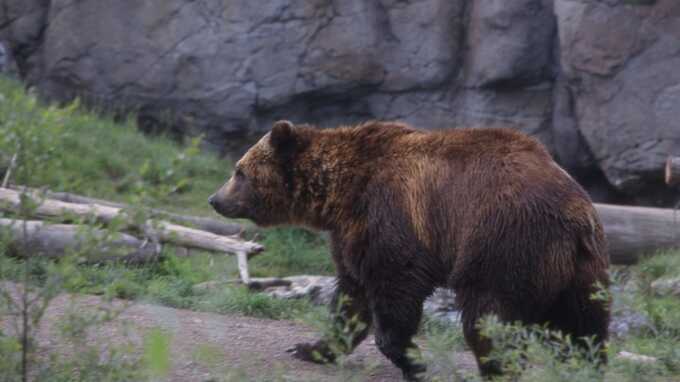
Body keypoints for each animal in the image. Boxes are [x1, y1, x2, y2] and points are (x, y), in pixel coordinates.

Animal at [209, 119, 612, 380]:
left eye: (239, 171)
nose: (215, 199)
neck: (340, 193)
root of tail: (574, 215)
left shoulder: (391, 217)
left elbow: (395, 287)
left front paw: (412, 360)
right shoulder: (351, 233)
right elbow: (351, 297)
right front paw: (310, 347)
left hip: (503, 242)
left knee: (487, 314)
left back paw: (497, 368)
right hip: (581, 269)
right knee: (585, 325)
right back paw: (586, 367)